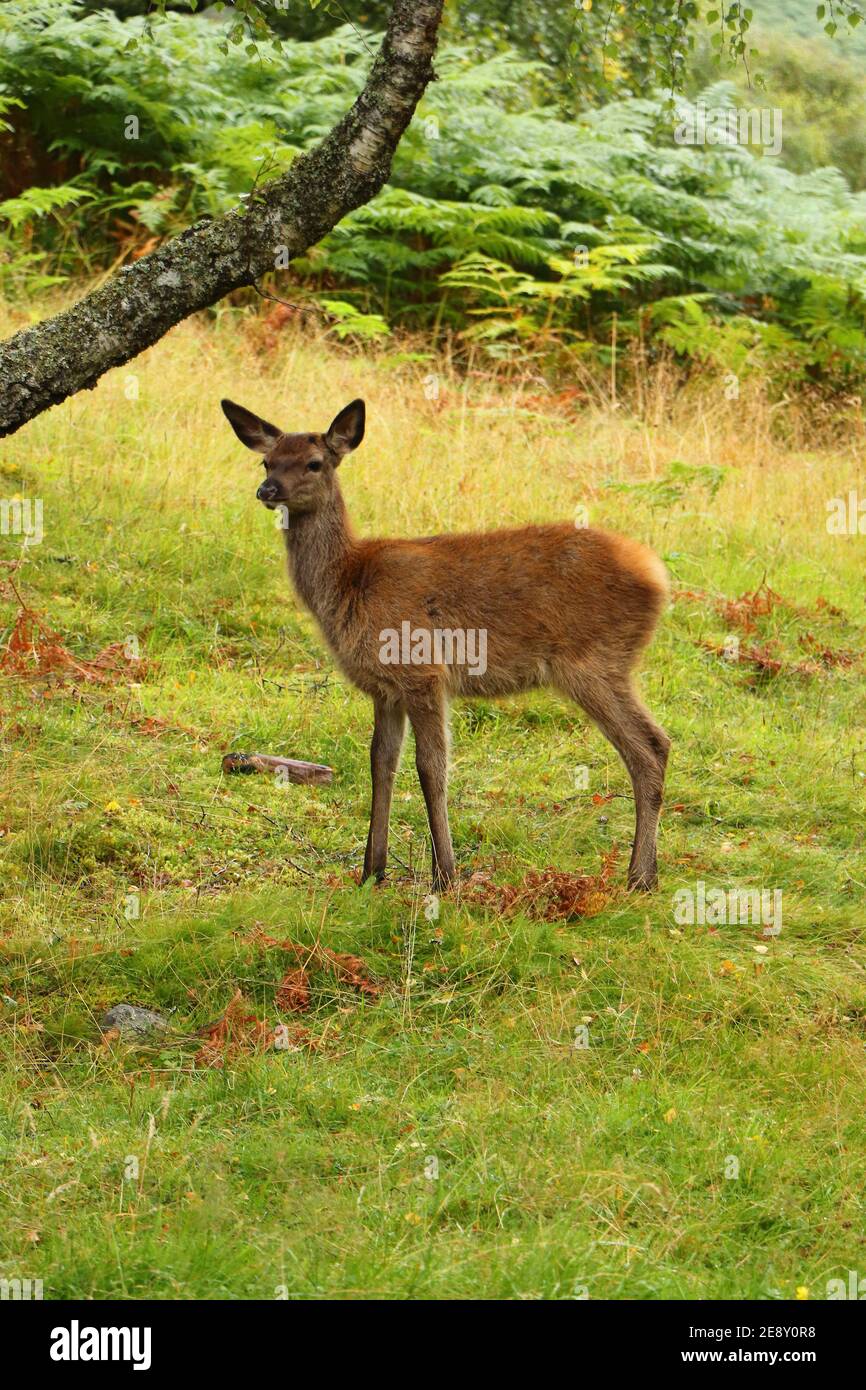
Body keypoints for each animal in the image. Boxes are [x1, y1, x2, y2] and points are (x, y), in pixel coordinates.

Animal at [221, 396, 671, 894]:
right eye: (267, 460)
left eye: (314, 462)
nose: (267, 489)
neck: (349, 582)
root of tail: (658, 575)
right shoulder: (385, 689)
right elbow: (381, 763)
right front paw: (371, 871)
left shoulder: (424, 673)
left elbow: (431, 768)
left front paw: (445, 876)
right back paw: (644, 873)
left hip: (593, 661)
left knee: (650, 746)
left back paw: (640, 875)